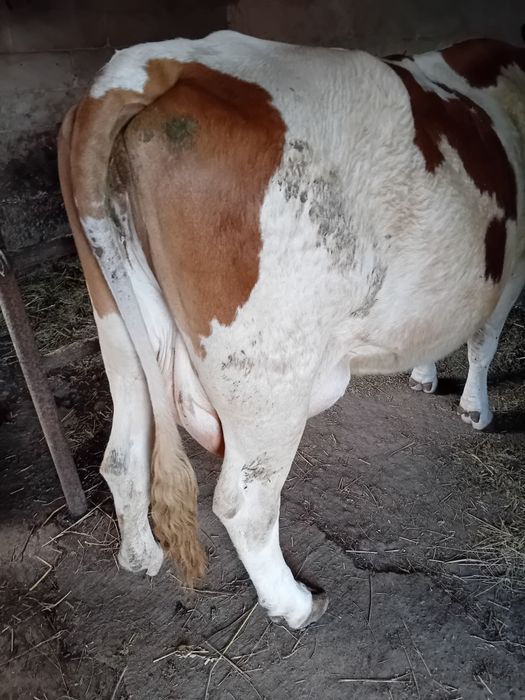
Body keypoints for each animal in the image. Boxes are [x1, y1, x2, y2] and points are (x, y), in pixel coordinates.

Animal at [58, 30, 525, 629]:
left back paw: (141, 556)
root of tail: (151, 66)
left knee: (122, 457)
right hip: (265, 378)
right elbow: (483, 343)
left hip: (118, 331)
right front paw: (475, 410)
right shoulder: (511, 269)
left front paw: (423, 374)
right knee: (245, 503)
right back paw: (295, 604)